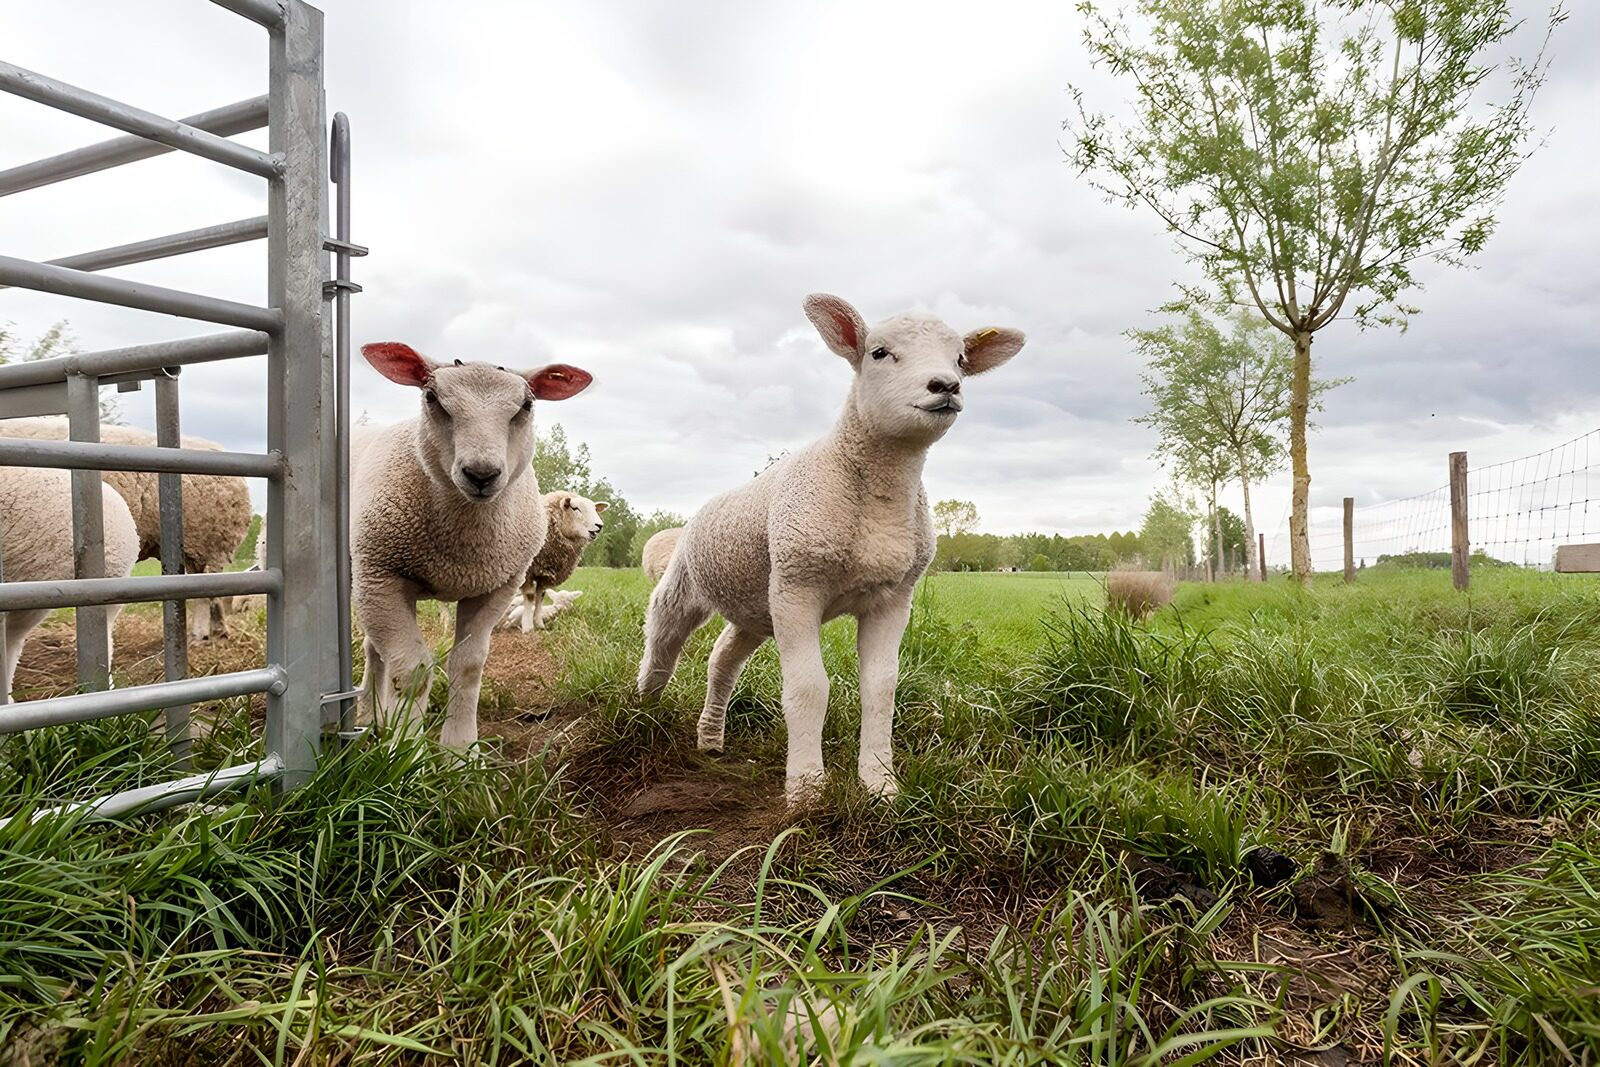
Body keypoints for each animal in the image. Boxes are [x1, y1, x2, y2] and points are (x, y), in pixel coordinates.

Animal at [352, 342, 592, 747]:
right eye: (431, 397)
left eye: (526, 405)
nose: (481, 474)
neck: (460, 548)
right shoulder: (381, 577)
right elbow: (413, 671)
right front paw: (405, 750)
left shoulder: (496, 587)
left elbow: (467, 667)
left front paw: (460, 750)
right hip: (364, 581)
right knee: (377, 654)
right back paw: (370, 718)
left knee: (375, 649)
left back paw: (379, 718)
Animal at [502, 490, 607, 632]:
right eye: (575, 508)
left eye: (595, 509)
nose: (599, 526)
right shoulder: (528, 571)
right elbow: (530, 596)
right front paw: (528, 627)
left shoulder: (545, 574)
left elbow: (540, 596)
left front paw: (539, 624)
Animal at [637, 294, 1024, 805]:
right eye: (879, 353)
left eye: (960, 359)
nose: (947, 386)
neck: (876, 497)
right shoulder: (798, 585)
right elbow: (807, 688)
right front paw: (806, 789)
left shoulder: (892, 597)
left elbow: (881, 688)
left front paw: (880, 783)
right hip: (690, 582)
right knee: (662, 642)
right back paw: (641, 715)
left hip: (756, 606)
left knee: (723, 657)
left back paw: (711, 737)